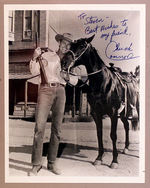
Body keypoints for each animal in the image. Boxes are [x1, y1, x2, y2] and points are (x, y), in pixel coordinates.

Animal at [61, 34, 139, 168]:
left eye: (82, 46)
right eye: (71, 45)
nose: (63, 62)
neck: (102, 81)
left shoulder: (113, 113)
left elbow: (113, 135)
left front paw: (114, 161)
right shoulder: (96, 113)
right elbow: (99, 134)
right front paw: (99, 158)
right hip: (123, 114)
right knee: (127, 126)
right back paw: (126, 147)